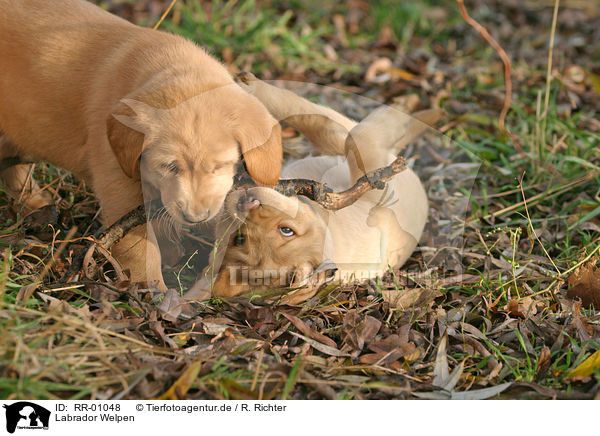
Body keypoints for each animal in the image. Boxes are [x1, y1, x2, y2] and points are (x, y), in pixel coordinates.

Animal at [0, 0, 282, 290]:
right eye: (169, 167)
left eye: (219, 166)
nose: (195, 218)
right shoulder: (120, 186)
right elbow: (140, 248)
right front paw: (152, 289)